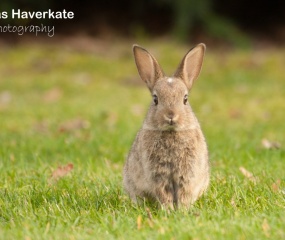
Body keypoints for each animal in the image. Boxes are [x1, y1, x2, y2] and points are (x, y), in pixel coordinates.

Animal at [122, 44, 209, 209]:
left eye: (185, 99)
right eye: (155, 99)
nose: (171, 115)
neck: (171, 132)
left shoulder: (187, 173)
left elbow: (184, 194)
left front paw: (182, 210)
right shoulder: (157, 174)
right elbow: (163, 193)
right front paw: (168, 210)